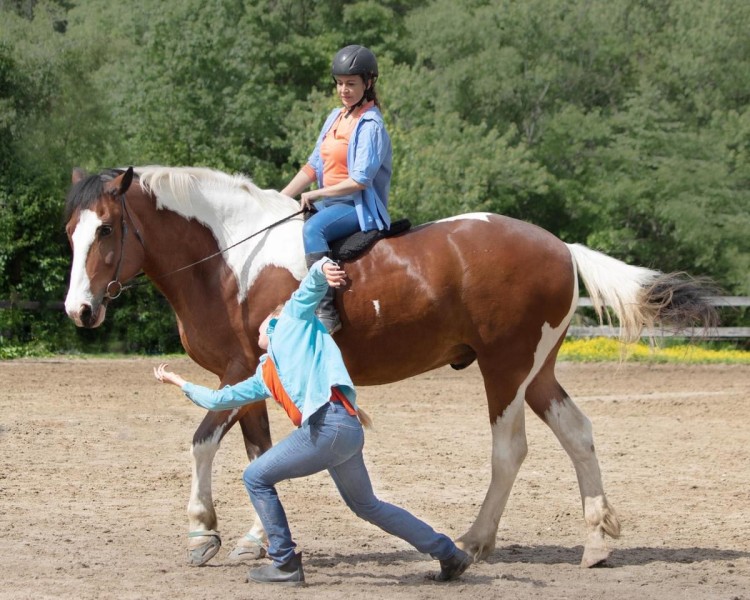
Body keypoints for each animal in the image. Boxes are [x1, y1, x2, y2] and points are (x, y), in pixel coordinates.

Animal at [63, 165, 718, 569]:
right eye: (71, 232)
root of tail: (560, 246)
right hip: (537, 373)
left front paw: (207, 530)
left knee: (510, 450)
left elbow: (207, 442)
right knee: (579, 435)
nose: (80, 310)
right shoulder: (247, 378)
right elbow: (251, 450)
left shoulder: (236, 371)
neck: (229, 260)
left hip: (505, 370)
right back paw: (596, 544)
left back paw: (474, 541)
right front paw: (250, 538)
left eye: (108, 228)